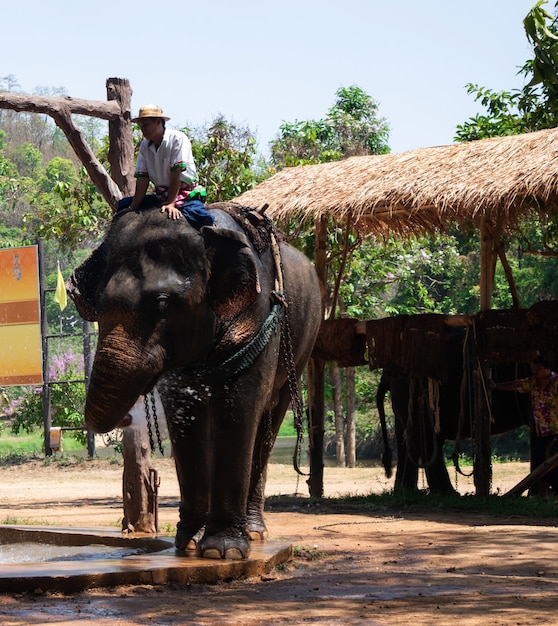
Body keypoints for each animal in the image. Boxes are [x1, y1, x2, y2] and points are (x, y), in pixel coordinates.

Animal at [69, 202, 324, 560]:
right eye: (99, 303)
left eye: (163, 303)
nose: (128, 418)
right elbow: (184, 415)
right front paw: (188, 544)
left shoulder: (259, 317)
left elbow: (239, 406)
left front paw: (222, 551)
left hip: (305, 339)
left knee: (269, 421)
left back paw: (254, 532)